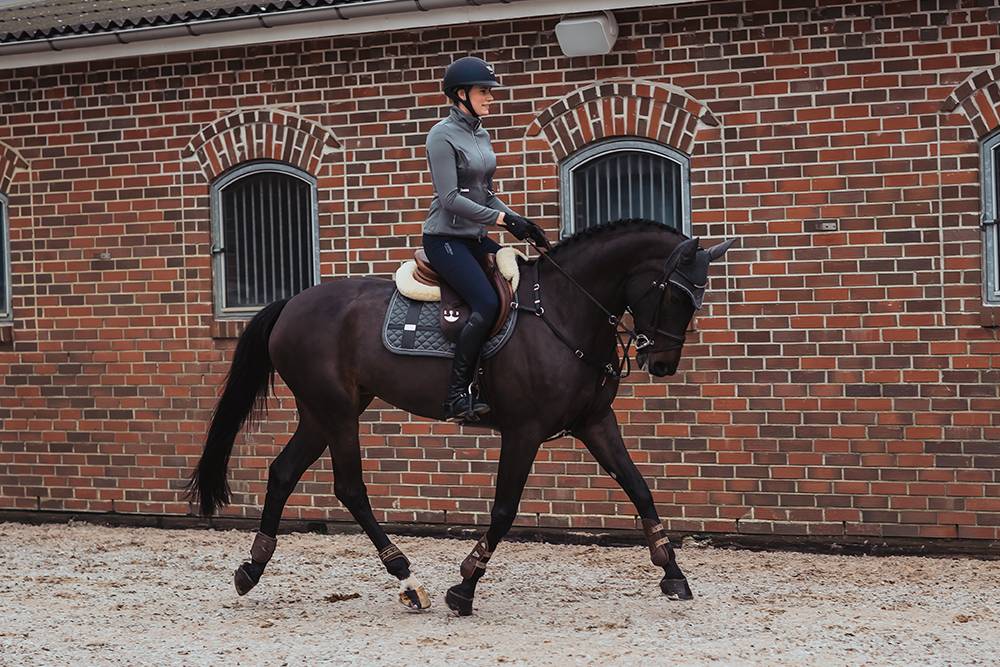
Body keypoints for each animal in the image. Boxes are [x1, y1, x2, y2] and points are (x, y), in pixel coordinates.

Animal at [188, 218, 736, 616]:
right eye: (675, 294)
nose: (661, 364)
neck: (564, 309)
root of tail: (291, 304)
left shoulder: (596, 423)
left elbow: (639, 488)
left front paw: (673, 574)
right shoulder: (523, 432)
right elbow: (504, 510)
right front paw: (465, 585)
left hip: (322, 412)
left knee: (283, 472)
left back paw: (251, 568)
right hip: (337, 413)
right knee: (350, 488)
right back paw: (408, 579)